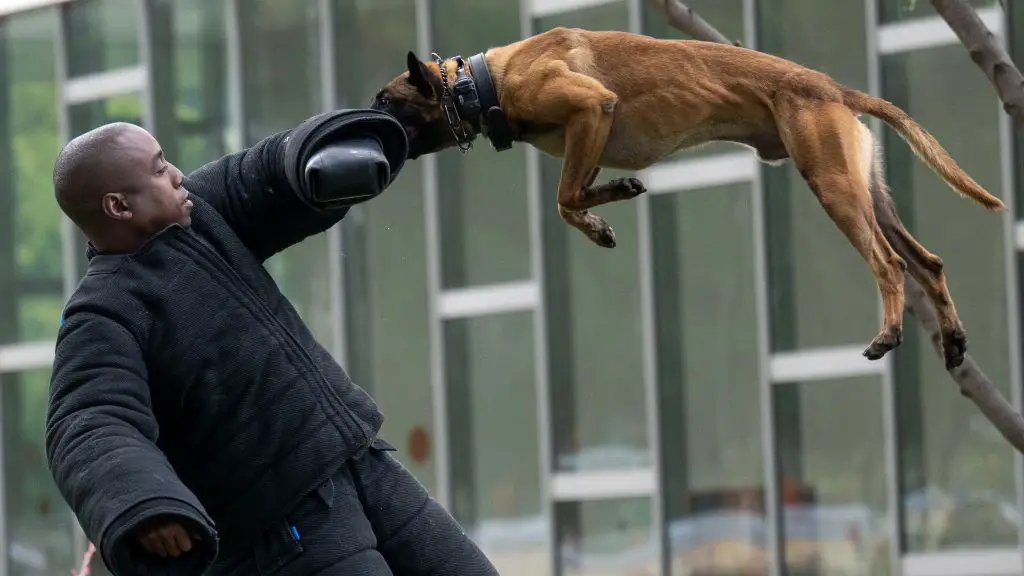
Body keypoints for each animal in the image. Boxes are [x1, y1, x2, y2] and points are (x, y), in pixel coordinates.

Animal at [366, 26, 999, 366]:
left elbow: (565, 198)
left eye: (384, 100)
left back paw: (889, 334)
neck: (482, 81)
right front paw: (611, 200)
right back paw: (954, 339)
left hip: (834, 188)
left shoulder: (591, 108)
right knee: (928, 263)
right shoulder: (587, 132)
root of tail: (834, 88)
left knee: (890, 264)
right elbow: (575, 193)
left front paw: (598, 220)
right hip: (869, 195)